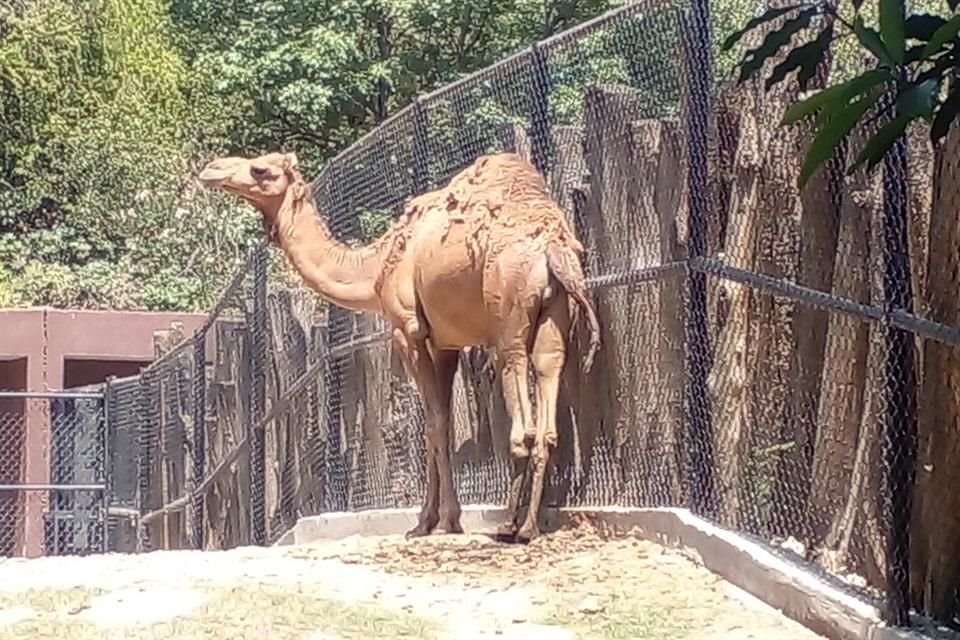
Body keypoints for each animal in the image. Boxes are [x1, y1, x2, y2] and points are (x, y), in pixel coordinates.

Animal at [197, 151, 600, 540]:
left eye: (260, 169)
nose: (211, 169)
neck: (377, 267)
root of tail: (551, 251)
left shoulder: (408, 330)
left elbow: (433, 424)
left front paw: (436, 522)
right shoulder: (445, 343)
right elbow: (441, 423)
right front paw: (435, 519)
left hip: (509, 315)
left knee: (521, 406)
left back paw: (509, 526)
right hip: (554, 315)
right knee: (548, 392)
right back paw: (529, 526)